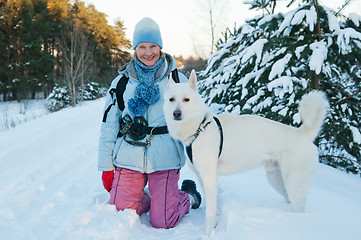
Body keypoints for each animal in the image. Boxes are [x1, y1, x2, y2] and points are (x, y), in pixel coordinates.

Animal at [163, 69, 330, 236]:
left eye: (186, 99)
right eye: (171, 99)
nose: (176, 113)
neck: (199, 128)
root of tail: (303, 134)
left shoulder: (210, 178)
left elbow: (209, 213)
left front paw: (207, 233)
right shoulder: (202, 178)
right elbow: (213, 209)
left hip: (294, 184)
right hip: (276, 180)